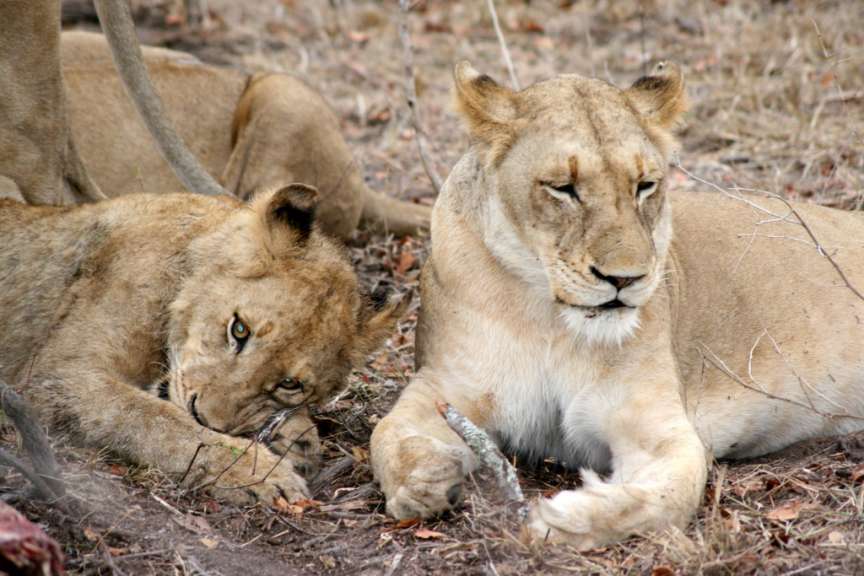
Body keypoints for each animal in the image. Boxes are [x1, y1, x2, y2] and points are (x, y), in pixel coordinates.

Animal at [0, 185, 405, 505]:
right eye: (239, 329)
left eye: (290, 384)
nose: (204, 416)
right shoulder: (59, 374)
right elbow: (156, 421)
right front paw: (258, 473)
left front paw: (297, 437)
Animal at [370, 61, 864, 549]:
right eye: (563, 188)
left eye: (645, 185)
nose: (625, 279)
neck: (548, 320)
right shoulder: (444, 385)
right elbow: (385, 431)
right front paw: (424, 479)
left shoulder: (658, 430)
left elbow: (667, 497)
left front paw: (562, 519)